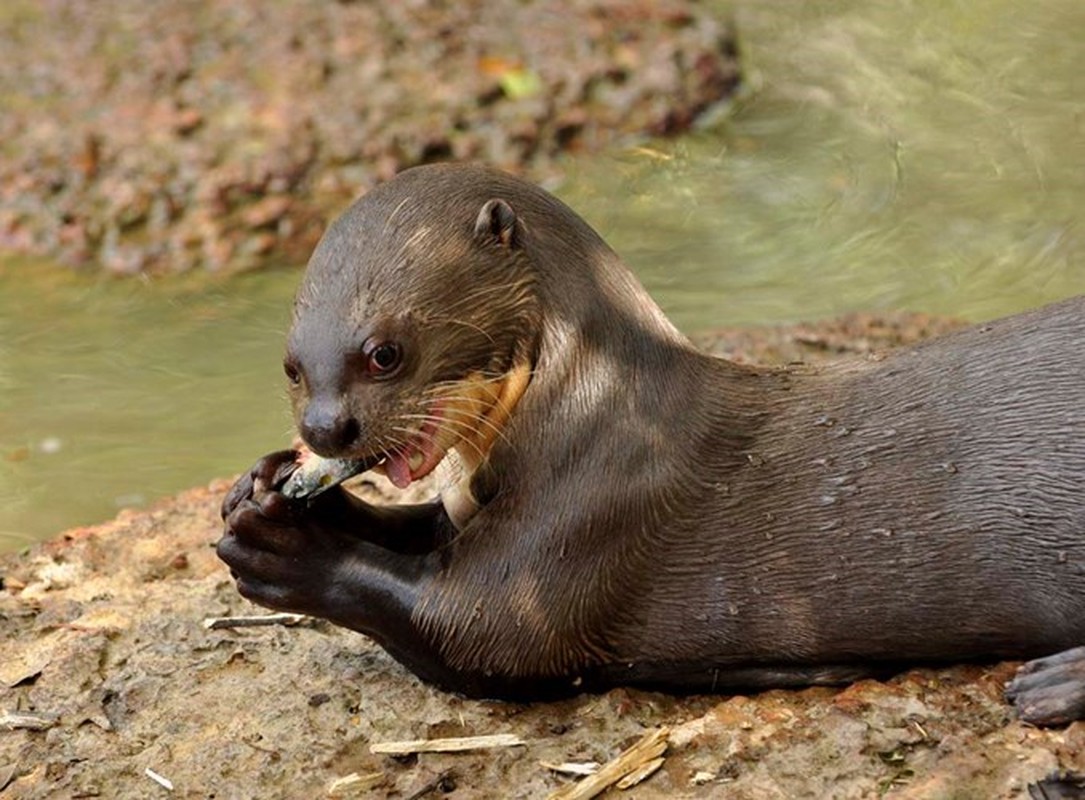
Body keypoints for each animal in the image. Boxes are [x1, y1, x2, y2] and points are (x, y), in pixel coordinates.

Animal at [218, 162, 1085, 725]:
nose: (323, 428)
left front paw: (285, 549)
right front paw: (262, 485)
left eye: (384, 352)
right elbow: (417, 526)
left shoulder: (591, 511)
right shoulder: (474, 501)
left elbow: (472, 627)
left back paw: (1047, 689)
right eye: (292, 367)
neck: (591, 410)